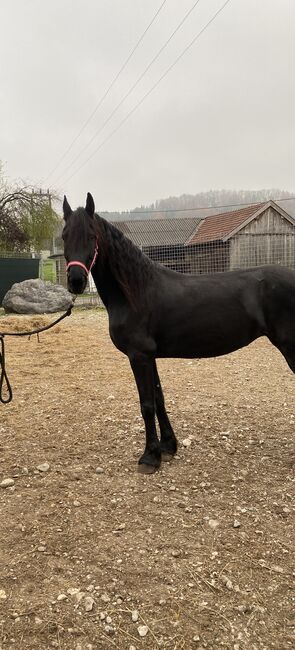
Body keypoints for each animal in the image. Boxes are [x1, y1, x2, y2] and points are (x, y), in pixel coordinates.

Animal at [63, 192, 295, 470]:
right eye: (64, 235)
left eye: (92, 236)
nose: (76, 281)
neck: (137, 292)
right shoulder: (149, 356)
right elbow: (159, 399)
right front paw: (167, 447)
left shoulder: (138, 356)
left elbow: (147, 404)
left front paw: (150, 457)